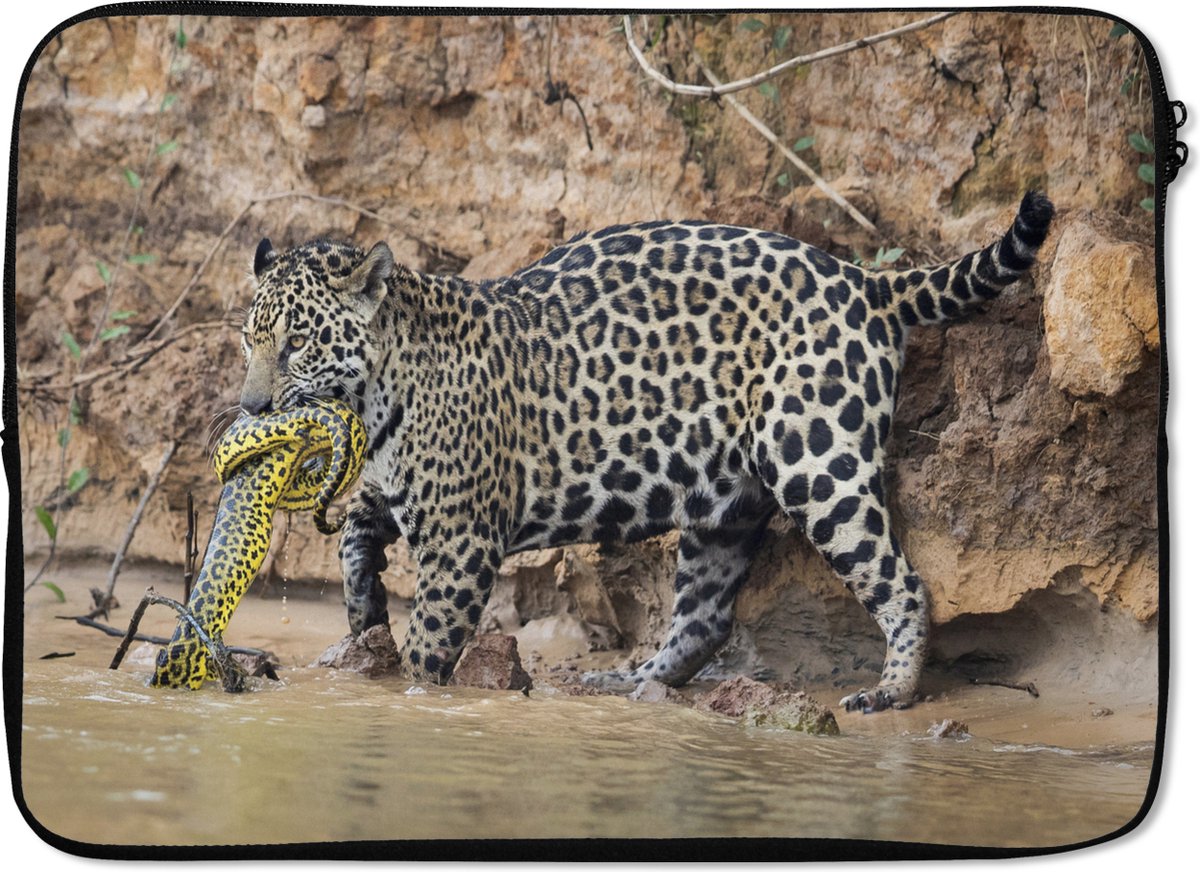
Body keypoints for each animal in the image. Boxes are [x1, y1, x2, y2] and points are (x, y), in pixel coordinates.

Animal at [240, 191, 1054, 712]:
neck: (377, 391)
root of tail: (868, 283)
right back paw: (634, 685)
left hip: (816, 463)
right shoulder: (406, 491)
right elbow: (354, 528)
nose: (251, 408)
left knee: (901, 582)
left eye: (298, 344)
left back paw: (890, 691)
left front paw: (412, 693)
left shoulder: (462, 533)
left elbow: (431, 640)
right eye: (250, 340)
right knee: (704, 618)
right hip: (727, 504)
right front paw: (361, 610)